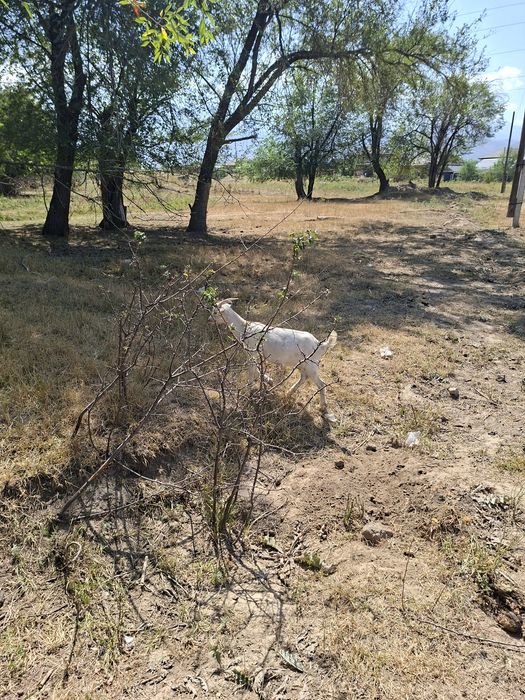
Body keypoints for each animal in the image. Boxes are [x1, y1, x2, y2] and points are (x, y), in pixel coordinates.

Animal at [209, 298, 337, 421]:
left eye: (215, 312)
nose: (209, 319)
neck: (244, 328)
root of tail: (321, 345)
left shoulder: (253, 352)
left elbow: (251, 370)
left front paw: (251, 389)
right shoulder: (257, 355)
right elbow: (257, 370)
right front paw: (268, 381)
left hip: (311, 365)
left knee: (321, 384)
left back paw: (323, 407)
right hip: (302, 364)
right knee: (304, 377)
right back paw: (289, 392)